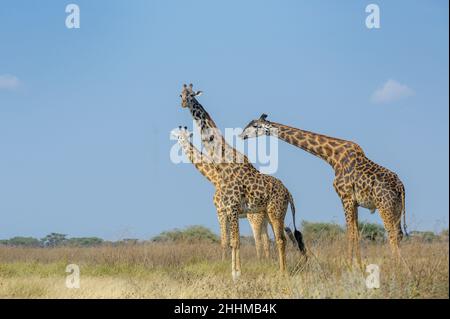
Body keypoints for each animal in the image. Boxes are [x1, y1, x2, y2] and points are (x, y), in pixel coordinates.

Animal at [171, 126, 270, 262]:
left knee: (258, 241)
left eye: (181, 135)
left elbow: (225, 241)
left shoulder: (220, 211)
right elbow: (231, 240)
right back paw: (269, 262)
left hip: (254, 217)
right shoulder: (228, 213)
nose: (177, 139)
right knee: (267, 241)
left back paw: (260, 262)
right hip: (265, 217)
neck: (215, 178)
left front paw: (223, 262)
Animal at [241, 114, 410, 266]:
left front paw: (350, 267)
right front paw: (359, 267)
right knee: (399, 234)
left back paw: (397, 268)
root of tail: (401, 187)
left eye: (255, 126)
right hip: (396, 208)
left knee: (392, 234)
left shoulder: (345, 197)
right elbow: (356, 233)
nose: (242, 135)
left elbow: (350, 234)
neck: (332, 157)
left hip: (384, 206)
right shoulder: (354, 202)